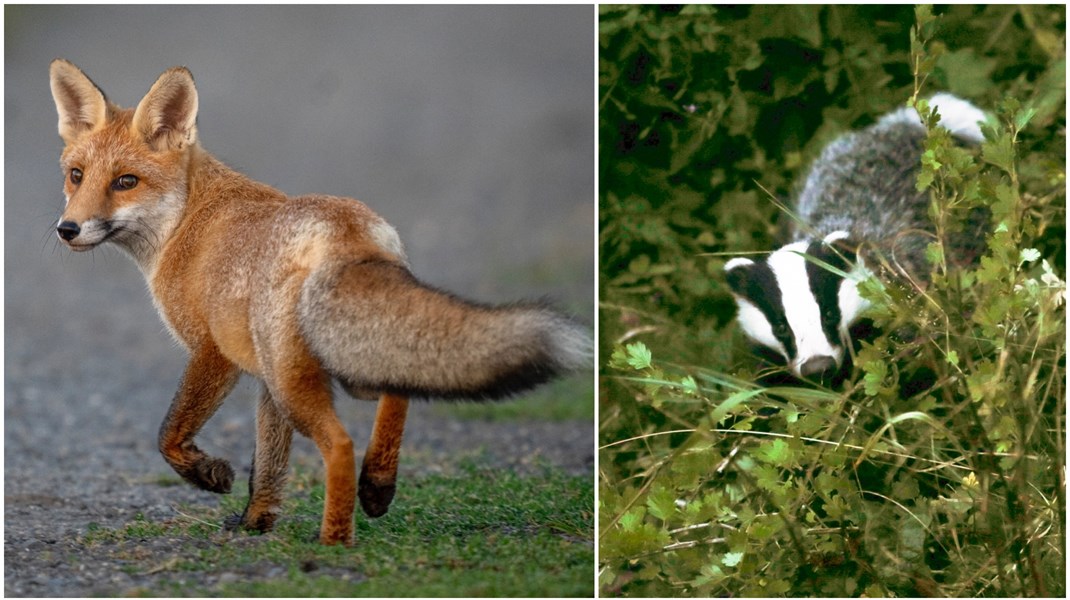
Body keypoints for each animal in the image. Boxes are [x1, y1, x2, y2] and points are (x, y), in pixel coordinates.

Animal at [48, 59, 594, 543]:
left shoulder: (213, 352)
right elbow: (268, 463)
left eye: (125, 182)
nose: (67, 229)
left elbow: (169, 435)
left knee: (341, 444)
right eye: (76, 175)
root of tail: (345, 231)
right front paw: (256, 521)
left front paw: (210, 476)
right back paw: (377, 485)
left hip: (301, 380)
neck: (184, 223)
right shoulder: (263, 378)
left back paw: (335, 538)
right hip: (334, 360)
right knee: (398, 386)